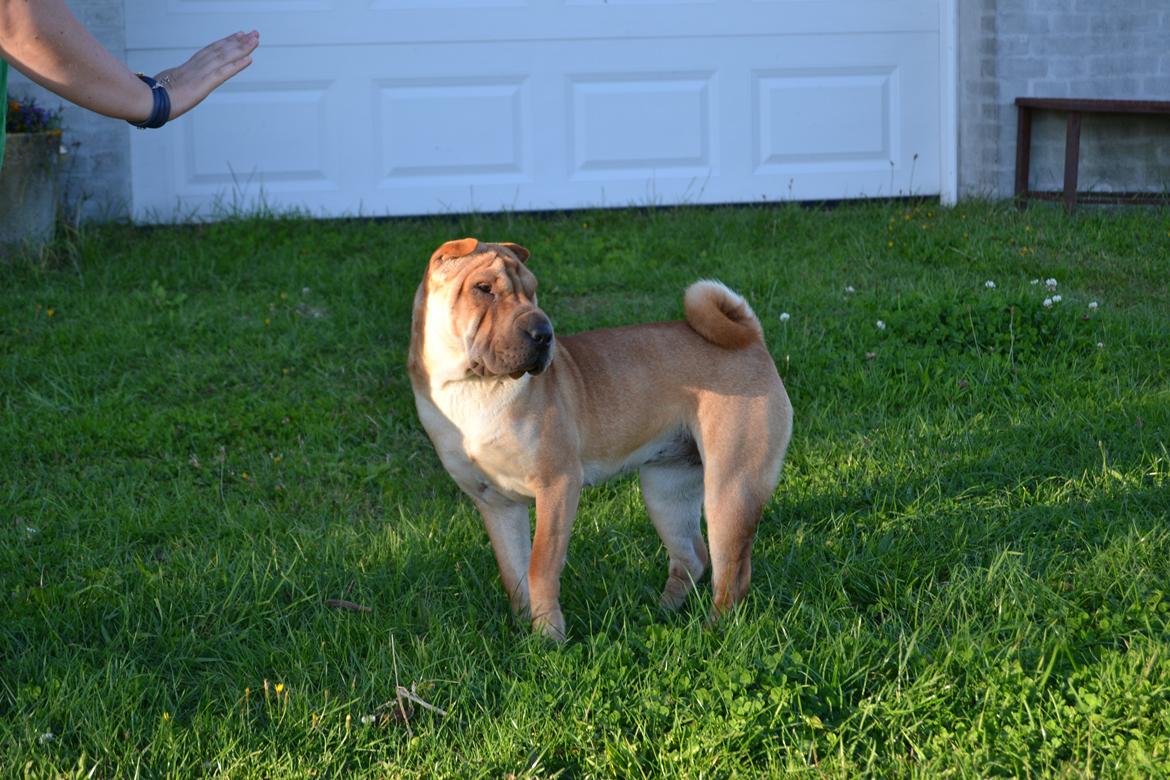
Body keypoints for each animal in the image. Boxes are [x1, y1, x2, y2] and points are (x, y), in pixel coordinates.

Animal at [407, 238, 790, 640]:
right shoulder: (496, 504)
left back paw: (710, 629)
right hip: (666, 490)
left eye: (532, 290)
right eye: (483, 288)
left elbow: (540, 566)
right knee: (692, 556)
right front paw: (525, 631)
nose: (543, 332)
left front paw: (550, 637)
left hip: (730, 489)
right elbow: (513, 573)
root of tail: (752, 338)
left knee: (733, 573)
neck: (471, 387)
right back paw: (663, 612)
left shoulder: (557, 486)